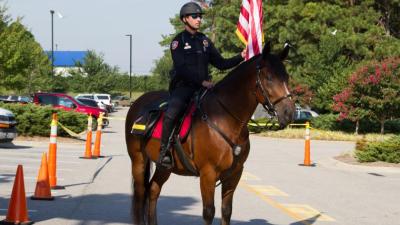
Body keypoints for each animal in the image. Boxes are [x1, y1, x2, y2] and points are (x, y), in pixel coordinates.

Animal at [126, 42, 296, 225]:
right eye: (269, 77)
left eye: (286, 77)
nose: (289, 113)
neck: (225, 118)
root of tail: (137, 103)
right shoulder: (208, 174)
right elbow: (209, 212)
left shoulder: (234, 174)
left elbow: (226, 211)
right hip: (138, 160)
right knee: (140, 195)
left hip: (164, 167)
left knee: (153, 190)